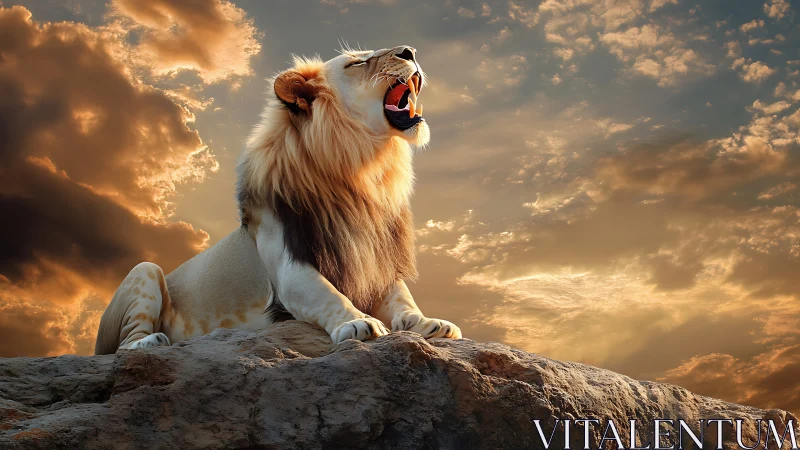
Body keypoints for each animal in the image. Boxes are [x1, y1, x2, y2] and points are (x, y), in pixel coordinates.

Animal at [94, 45, 462, 354]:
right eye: (357, 63)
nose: (409, 50)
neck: (361, 172)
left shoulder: (376, 257)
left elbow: (403, 299)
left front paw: (428, 324)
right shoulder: (289, 262)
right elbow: (326, 293)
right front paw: (357, 322)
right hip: (144, 271)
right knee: (124, 344)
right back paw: (152, 343)